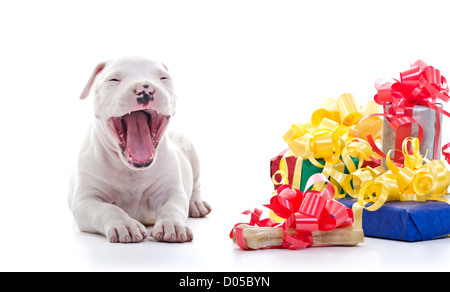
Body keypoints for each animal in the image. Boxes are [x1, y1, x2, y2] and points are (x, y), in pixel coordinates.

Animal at [68, 56, 211, 243]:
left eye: (163, 78)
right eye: (113, 80)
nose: (146, 88)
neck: (131, 170)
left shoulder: (171, 191)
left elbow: (173, 207)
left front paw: (171, 224)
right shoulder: (85, 200)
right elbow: (108, 209)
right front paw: (125, 224)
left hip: (192, 154)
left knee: (196, 184)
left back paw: (196, 204)